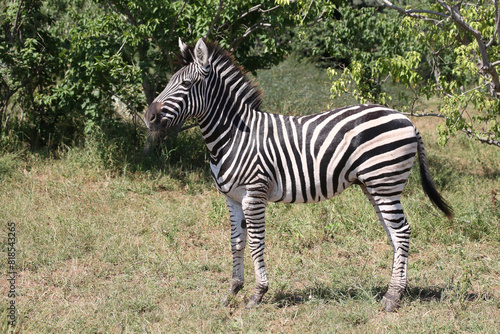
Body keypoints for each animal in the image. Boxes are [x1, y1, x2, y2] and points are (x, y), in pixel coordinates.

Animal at [145, 39, 454, 314]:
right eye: (170, 81)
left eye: (186, 85)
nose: (148, 117)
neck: (233, 136)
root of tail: (407, 120)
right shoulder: (231, 198)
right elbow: (236, 242)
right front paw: (232, 290)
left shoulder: (254, 194)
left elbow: (256, 242)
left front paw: (257, 295)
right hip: (374, 186)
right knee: (394, 234)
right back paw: (395, 291)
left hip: (385, 183)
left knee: (402, 232)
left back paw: (393, 299)